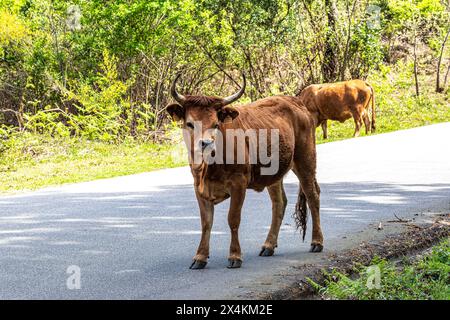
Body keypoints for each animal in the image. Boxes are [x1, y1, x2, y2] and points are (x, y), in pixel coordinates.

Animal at [167, 74, 322, 270]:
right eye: (190, 123)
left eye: (215, 124)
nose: (206, 143)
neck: (209, 168)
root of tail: (296, 101)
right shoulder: (198, 187)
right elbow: (206, 222)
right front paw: (200, 257)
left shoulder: (238, 183)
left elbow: (233, 219)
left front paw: (234, 256)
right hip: (274, 174)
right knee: (279, 203)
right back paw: (268, 245)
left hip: (305, 161)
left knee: (312, 196)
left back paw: (317, 242)